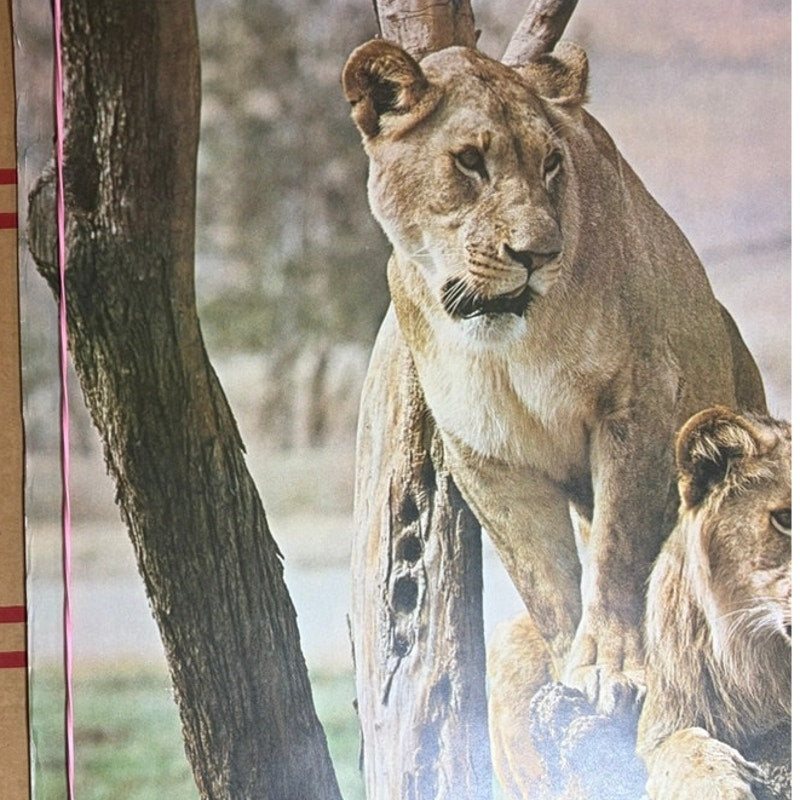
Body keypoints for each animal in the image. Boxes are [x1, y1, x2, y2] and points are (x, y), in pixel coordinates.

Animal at [342, 39, 766, 713]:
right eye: (469, 161)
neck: (507, 344)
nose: (537, 255)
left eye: (550, 165)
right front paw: (572, 668)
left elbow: (618, 552)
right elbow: (543, 579)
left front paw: (612, 668)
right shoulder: (484, 453)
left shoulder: (637, 403)